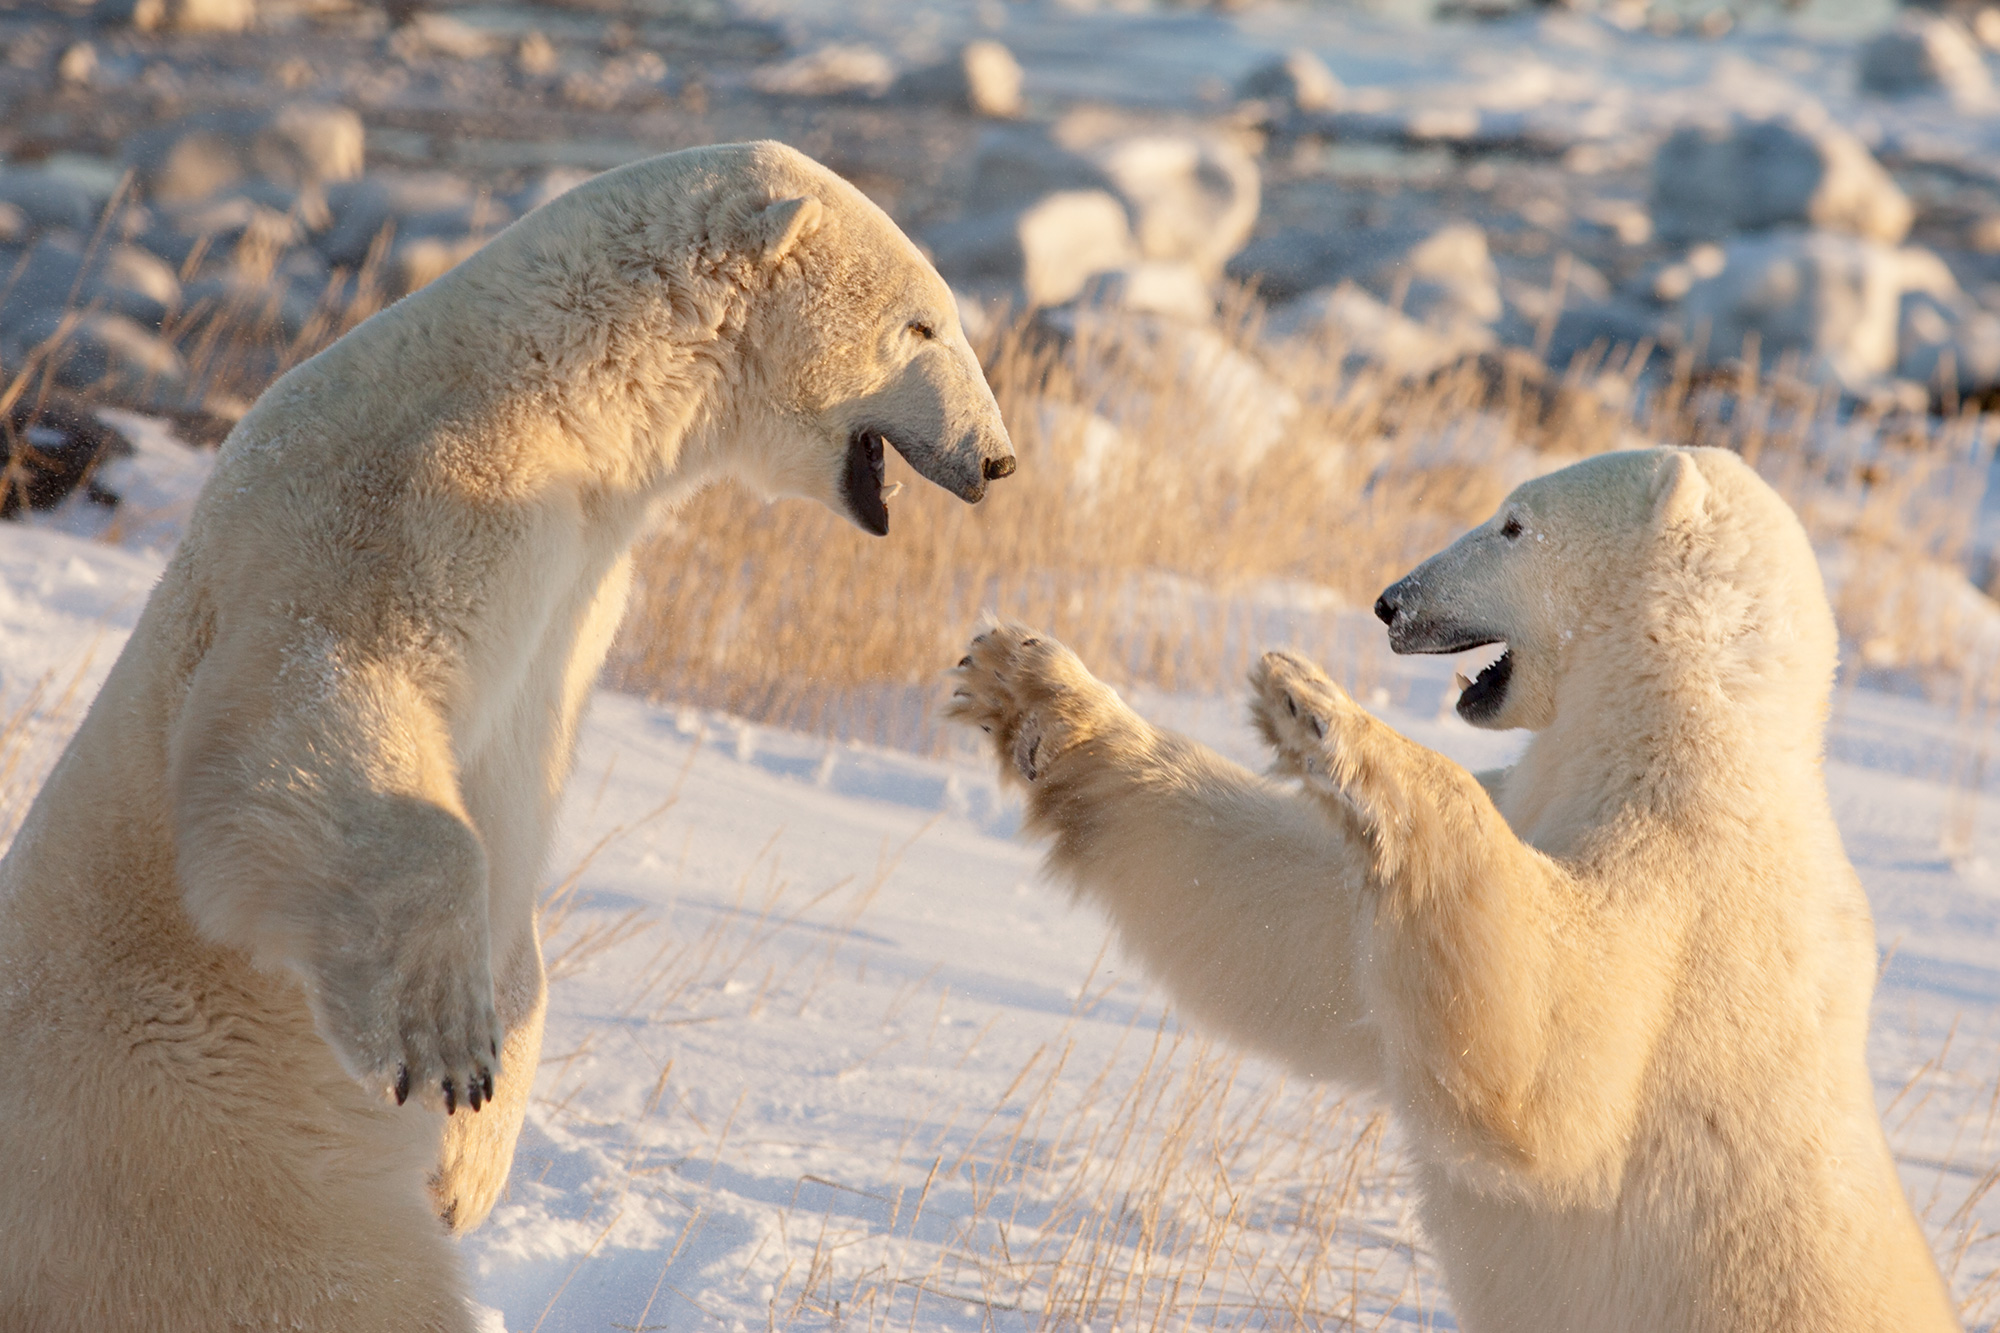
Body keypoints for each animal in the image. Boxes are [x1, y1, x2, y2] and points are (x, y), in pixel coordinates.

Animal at [944, 446, 1960, 1328]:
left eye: (1513, 524)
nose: (1390, 602)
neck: (1683, 732)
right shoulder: (1529, 802)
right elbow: (1300, 923)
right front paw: (1028, 686)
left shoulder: (1697, 894)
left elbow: (1555, 1047)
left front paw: (1323, 714)